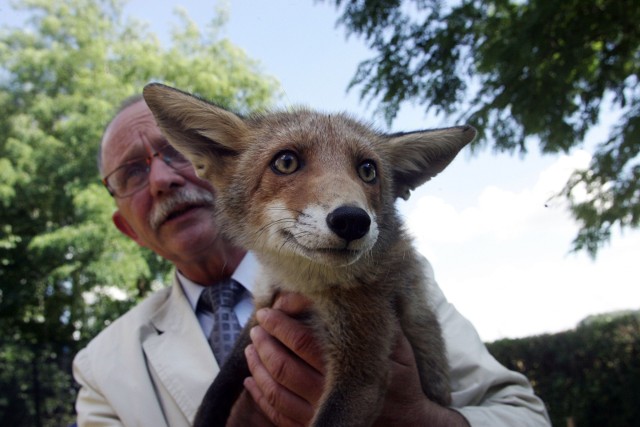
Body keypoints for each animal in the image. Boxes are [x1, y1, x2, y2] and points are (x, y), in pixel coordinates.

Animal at [142, 83, 478, 427]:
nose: (352, 220)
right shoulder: (263, 310)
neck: (303, 284)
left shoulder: (364, 364)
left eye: (368, 170)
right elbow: (219, 385)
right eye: (286, 162)